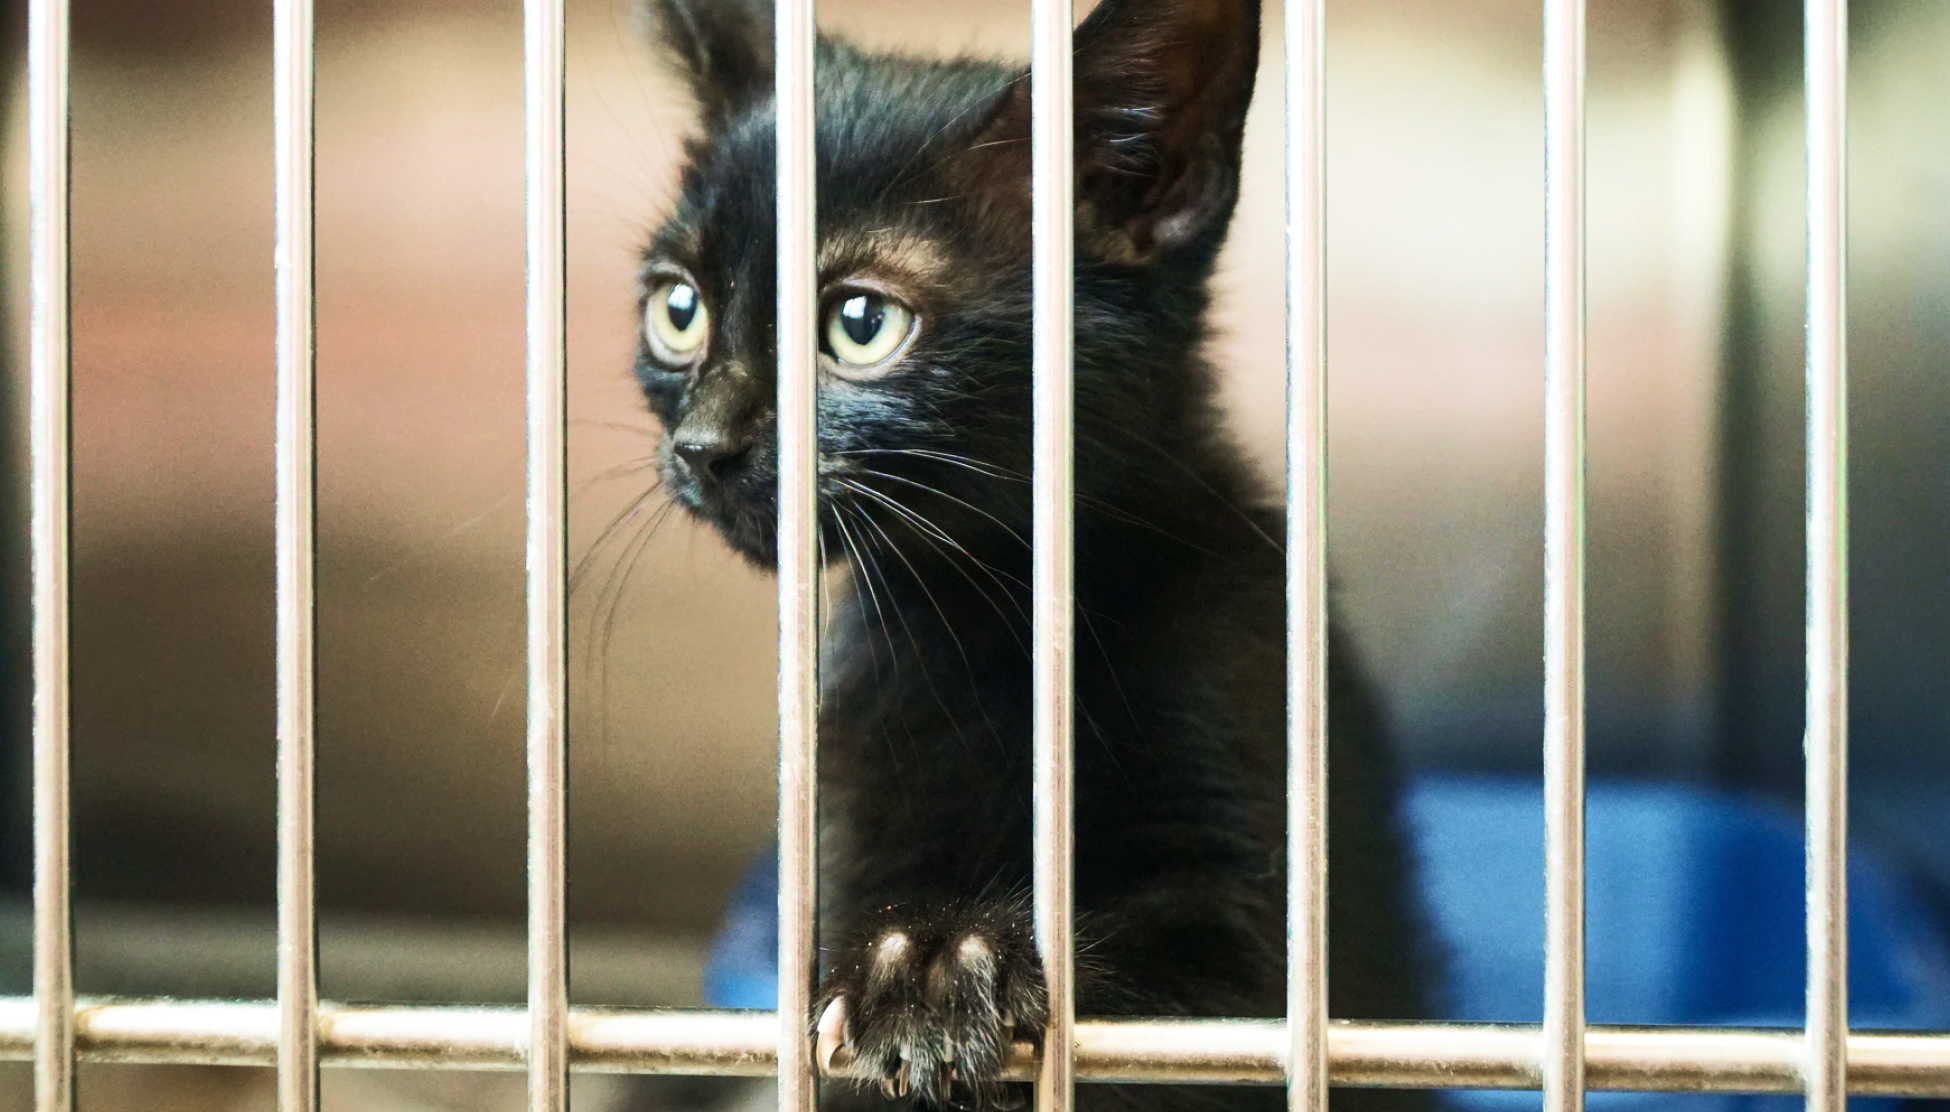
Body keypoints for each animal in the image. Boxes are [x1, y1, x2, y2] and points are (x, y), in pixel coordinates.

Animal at [635, 2, 1435, 1108]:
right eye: (678, 308)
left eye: (861, 322)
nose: (701, 445)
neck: (992, 618)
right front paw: (916, 955)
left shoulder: (1272, 936)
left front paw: (943, 964)